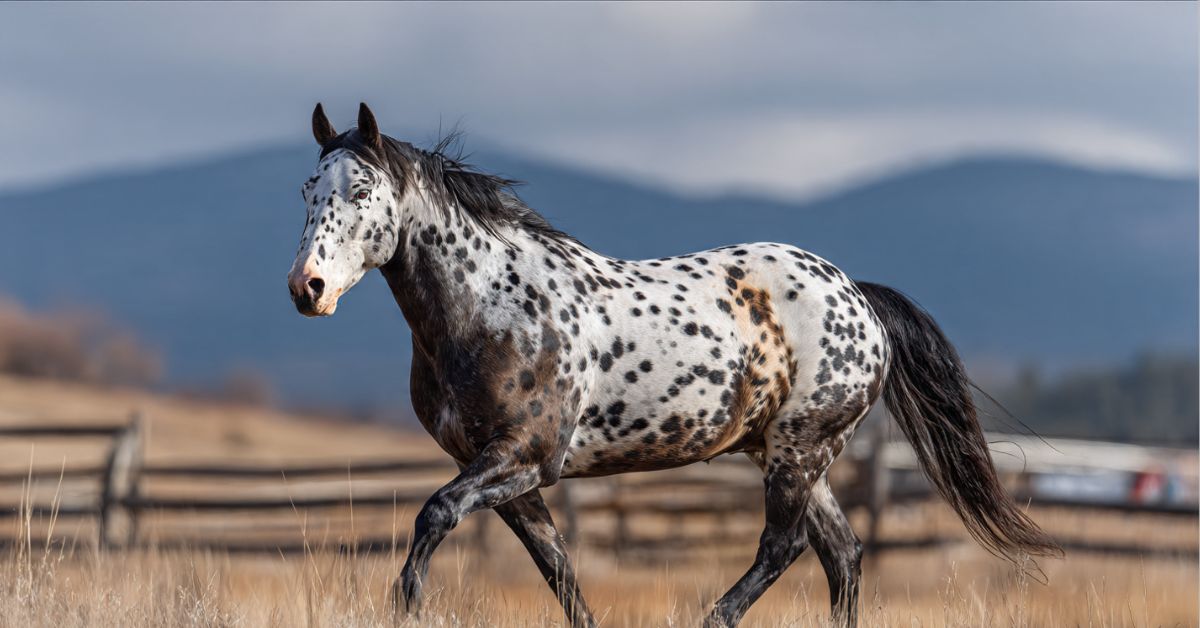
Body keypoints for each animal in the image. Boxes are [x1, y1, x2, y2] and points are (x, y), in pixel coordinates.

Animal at [286, 103, 1061, 627]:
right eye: (306, 191)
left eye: (361, 192)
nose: (307, 288)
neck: (493, 306)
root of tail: (860, 300)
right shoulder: (504, 472)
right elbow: (558, 568)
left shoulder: (524, 457)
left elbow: (435, 515)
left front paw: (406, 608)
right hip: (789, 452)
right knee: (842, 555)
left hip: (800, 449)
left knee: (784, 548)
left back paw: (711, 618)